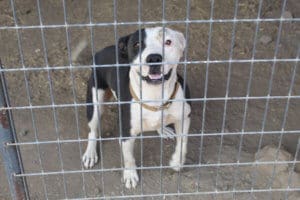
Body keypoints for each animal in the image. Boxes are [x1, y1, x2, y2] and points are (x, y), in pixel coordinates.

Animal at [81, 27, 191, 189]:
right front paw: (130, 175)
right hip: (95, 103)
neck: (155, 96)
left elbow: (183, 143)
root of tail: (102, 51)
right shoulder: (126, 132)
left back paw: (162, 129)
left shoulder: (184, 117)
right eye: (137, 44)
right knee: (93, 131)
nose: (154, 58)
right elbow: (129, 158)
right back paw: (90, 153)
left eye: (168, 42)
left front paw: (177, 162)